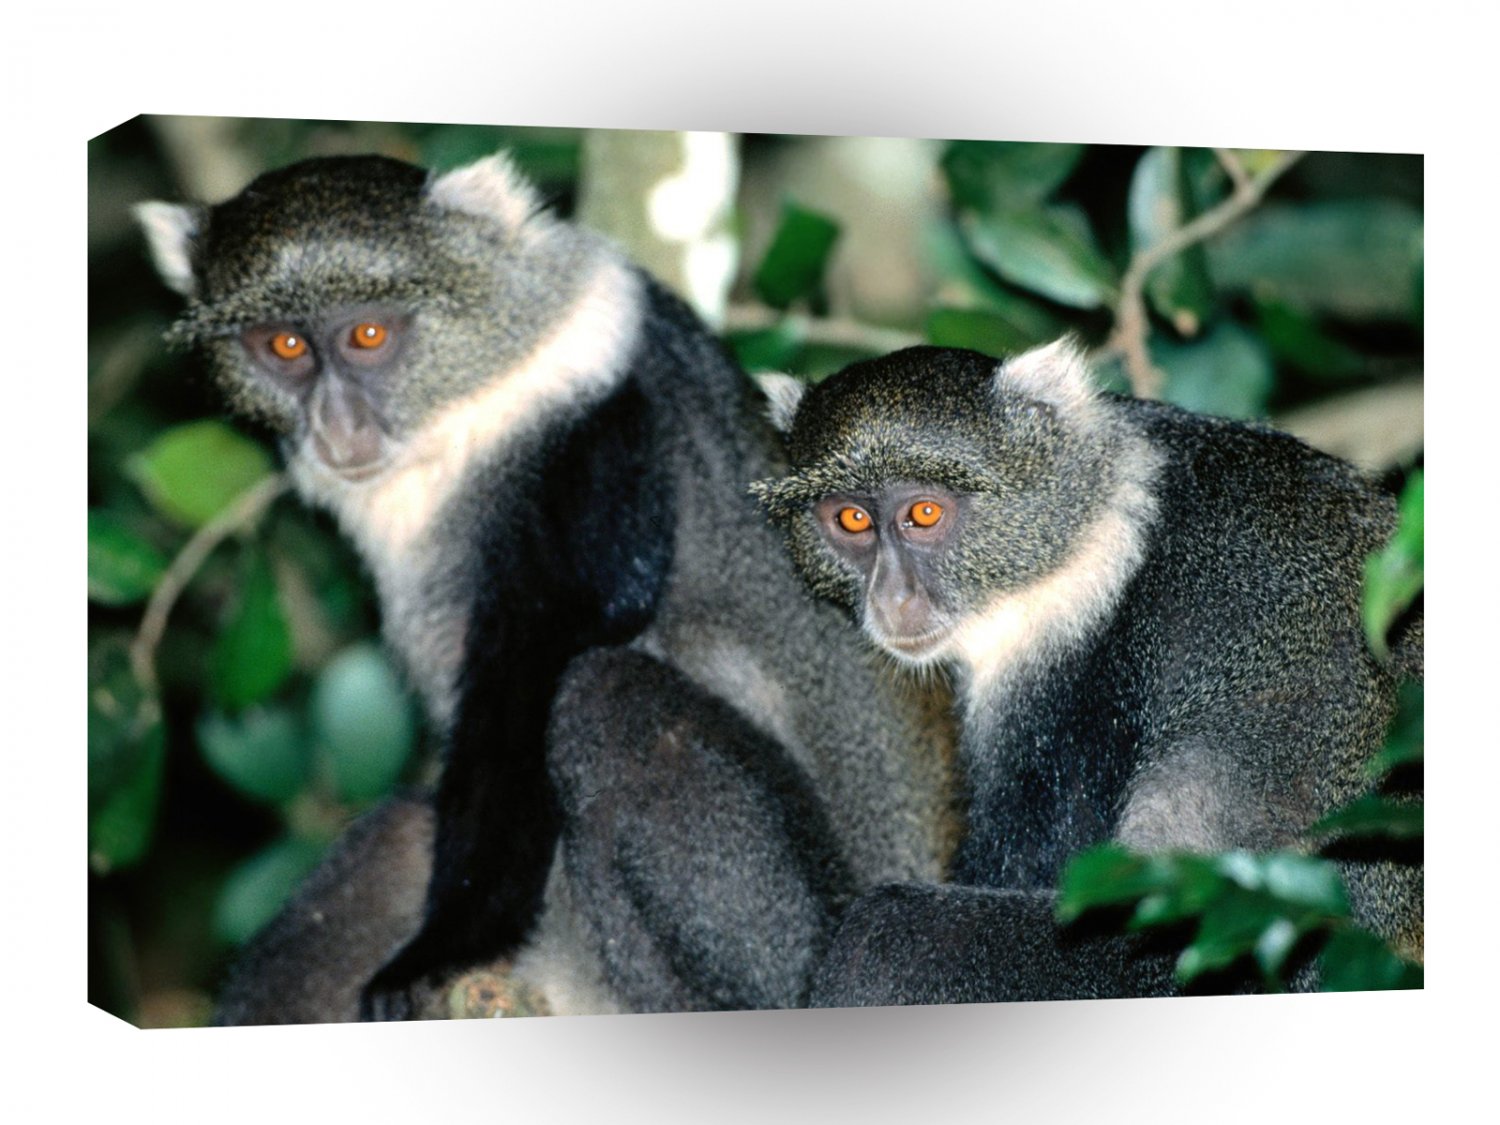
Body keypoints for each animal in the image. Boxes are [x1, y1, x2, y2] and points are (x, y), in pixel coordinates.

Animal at [138, 152, 952, 1021]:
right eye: (285, 344)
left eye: (368, 334)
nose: (335, 424)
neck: (468, 403)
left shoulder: (595, 424)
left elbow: (540, 662)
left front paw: (443, 947)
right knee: (392, 842)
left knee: (602, 696)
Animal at [750, 341, 1422, 1005]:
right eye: (852, 521)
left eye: (924, 512)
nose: (891, 598)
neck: (1100, 532)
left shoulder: (1278, 678)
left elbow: (1209, 932)